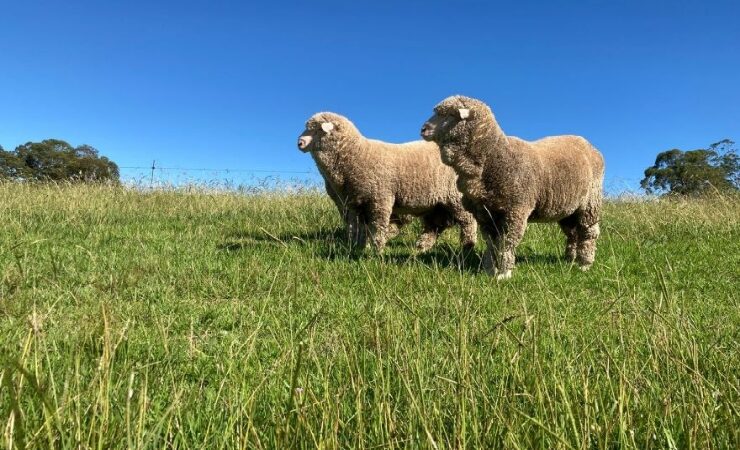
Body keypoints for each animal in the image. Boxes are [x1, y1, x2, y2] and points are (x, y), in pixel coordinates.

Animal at [298, 111, 476, 253]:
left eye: (316, 129)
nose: (299, 142)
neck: (357, 154)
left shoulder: (380, 198)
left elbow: (378, 225)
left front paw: (376, 250)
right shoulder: (355, 203)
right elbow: (357, 228)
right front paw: (358, 247)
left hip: (454, 197)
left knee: (468, 221)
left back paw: (467, 247)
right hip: (437, 204)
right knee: (434, 226)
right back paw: (420, 248)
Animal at [420, 95, 604, 278]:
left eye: (450, 115)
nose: (423, 129)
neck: (494, 156)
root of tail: (587, 144)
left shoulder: (516, 209)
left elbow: (506, 243)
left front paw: (504, 273)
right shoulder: (486, 214)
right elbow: (492, 244)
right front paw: (490, 270)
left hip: (590, 202)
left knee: (588, 232)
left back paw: (585, 264)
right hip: (569, 209)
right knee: (573, 233)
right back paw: (570, 259)